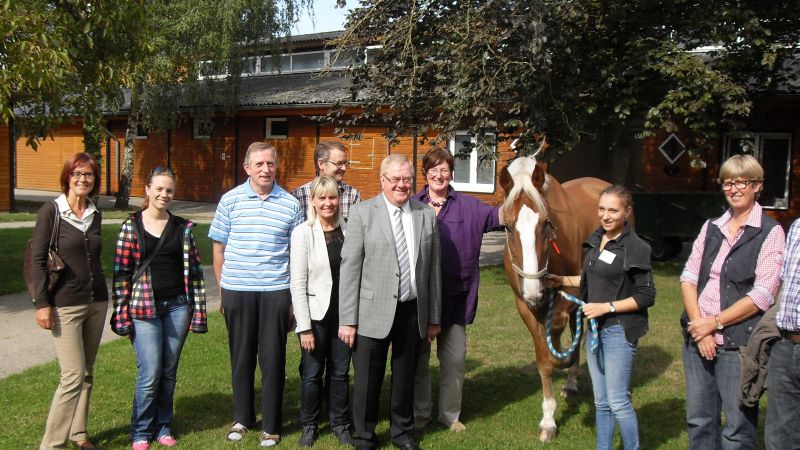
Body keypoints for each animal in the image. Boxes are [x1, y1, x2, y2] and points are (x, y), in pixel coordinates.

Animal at [500, 156, 608, 442]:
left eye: (546, 223)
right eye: (506, 226)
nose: (534, 289)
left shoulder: (573, 293)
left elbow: (562, 333)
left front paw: (564, 359)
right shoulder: (525, 306)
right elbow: (545, 362)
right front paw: (548, 420)